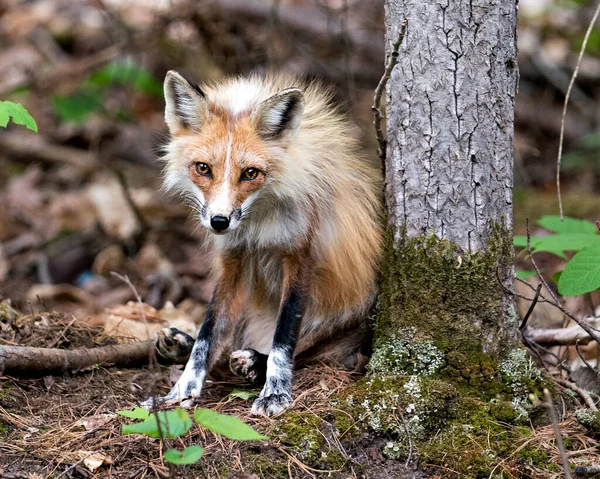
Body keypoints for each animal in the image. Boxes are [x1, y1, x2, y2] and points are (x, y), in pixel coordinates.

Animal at [143, 71, 382, 416]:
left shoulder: (301, 256)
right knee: (224, 349)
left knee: (314, 350)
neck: (257, 226)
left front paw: (275, 392)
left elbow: (285, 337)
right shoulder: (234, 260)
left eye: (250, 173)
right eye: (203, 168)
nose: (219, 221)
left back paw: (255, 363)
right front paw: (180, 392)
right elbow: (207, 336)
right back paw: (182, 345)